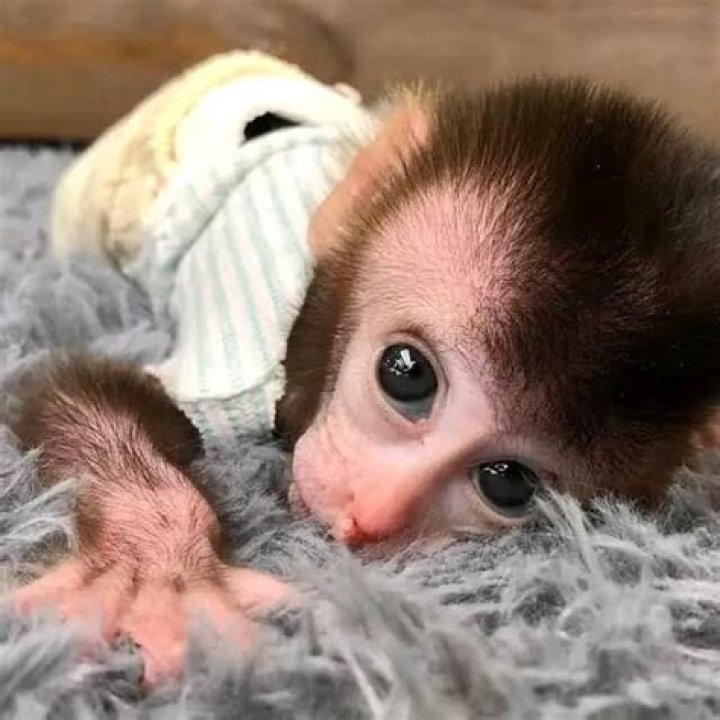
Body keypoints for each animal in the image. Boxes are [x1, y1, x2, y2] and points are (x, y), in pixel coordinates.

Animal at [6, 58, 719, 685]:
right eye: (406, 373)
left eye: (508, 482)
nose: (371, 513)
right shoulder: (240, 373)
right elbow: (66, 387)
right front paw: (157, 559)